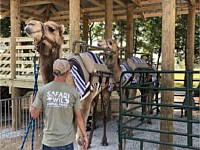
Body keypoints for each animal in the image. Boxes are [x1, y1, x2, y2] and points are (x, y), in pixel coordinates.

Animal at [24, 19, 111, 149]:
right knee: (95, 113)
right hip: (94, 94)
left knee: (104, 114)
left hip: (104, 89)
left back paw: (104, 140)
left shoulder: (83, 103)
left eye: (51, 28)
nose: (30, 24)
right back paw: (91, 142)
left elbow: (80, 139)